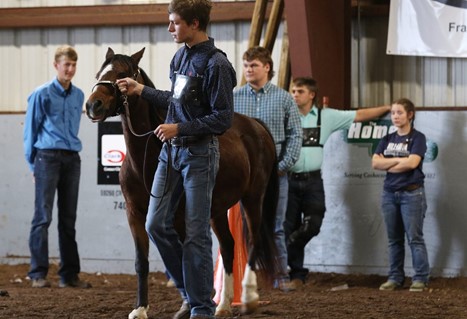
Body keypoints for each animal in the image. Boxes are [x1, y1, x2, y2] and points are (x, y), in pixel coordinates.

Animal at [85, 48, 278, 319]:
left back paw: (248, 297)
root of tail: (256, 126)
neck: (144, 160)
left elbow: (186, 257)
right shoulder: (136, 214)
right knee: (228, 246)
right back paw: (223, 305)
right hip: (216, 209)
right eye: (99, 74)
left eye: (122, 74)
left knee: (252, 242)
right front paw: (140, 309)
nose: (93, 105)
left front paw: (191, 304)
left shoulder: (181, 217)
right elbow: (142, 262)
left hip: (253, 197)